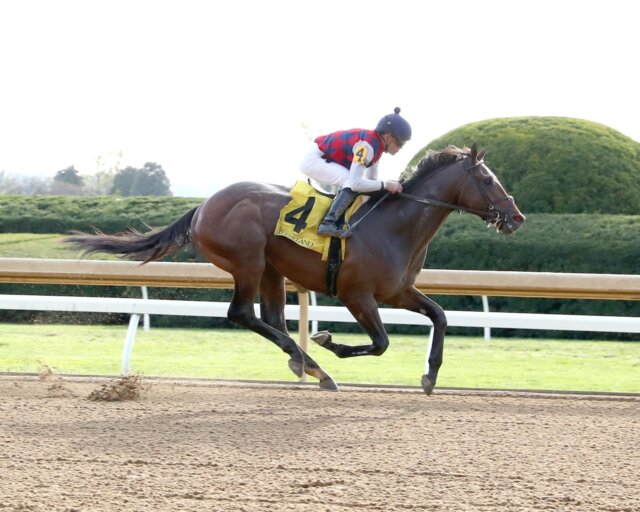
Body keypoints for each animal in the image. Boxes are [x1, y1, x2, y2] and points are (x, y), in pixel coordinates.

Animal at [65, 144, 524, 396]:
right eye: (487, 180)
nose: (516, 217)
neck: (394, 225)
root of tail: (202, 206)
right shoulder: (357, 295)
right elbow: (380, 343)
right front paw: (327, 340)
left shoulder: (397, 292)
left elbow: (440, 316)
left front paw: (430, 377)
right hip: (248, 261)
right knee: (243, 314)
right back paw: (314, 364)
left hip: (271, 268)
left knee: (270, 318)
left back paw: (309, 366)